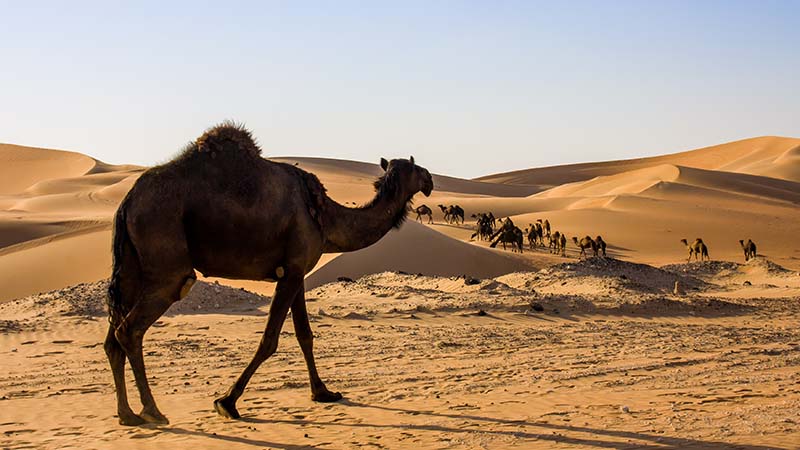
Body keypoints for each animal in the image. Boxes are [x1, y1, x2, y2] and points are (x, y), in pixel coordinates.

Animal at [104, 123, 433, 426]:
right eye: (416, 167)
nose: (430, 179)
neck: (325, 215)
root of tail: (128, 201)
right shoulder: (292, 272)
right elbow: (270, 339)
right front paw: (227, 402)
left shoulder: (296, 271)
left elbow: (304, 334)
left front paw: (323, 392)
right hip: (166, 260)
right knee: (130, 328)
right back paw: (152, 411)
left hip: (132, 266)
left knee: (114, 333)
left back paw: (127, 414)